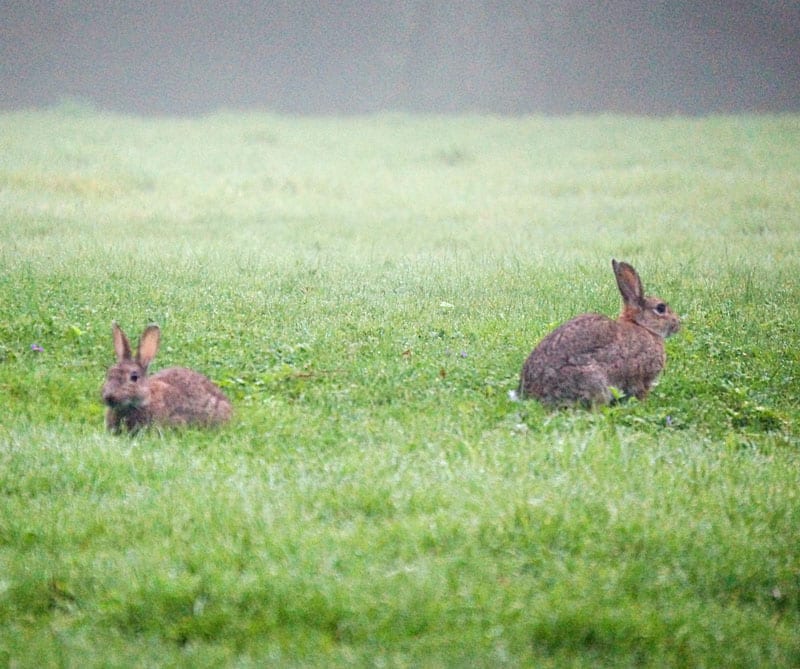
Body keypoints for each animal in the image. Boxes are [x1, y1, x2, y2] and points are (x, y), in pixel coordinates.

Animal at [520, 260, 680, 408]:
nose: (678, 324)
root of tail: (534, 393)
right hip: (591, 380)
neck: (642, 326)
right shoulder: (641, 378)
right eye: (661, 308)